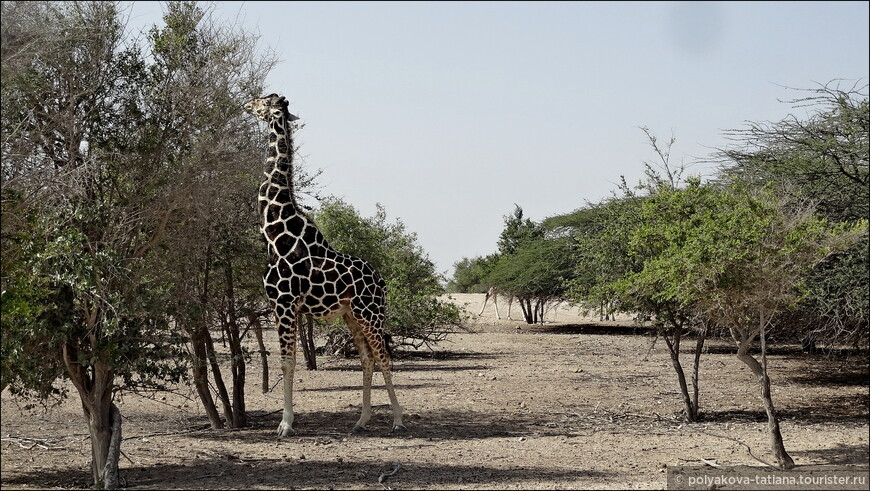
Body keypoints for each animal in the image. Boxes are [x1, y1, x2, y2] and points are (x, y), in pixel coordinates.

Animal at [244, 94, 408, 436]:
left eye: (264, 100)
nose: (246, 103)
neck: (275, 233)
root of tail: (381, 282)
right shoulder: (283, 306)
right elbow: (289, 360)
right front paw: (286, 421)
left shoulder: (285, 304)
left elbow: (288, 361)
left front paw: (285, 424)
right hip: (351, 316)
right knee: (367, 358)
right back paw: (361, 420)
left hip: (370, 313)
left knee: (384, 356)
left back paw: (398, 420)